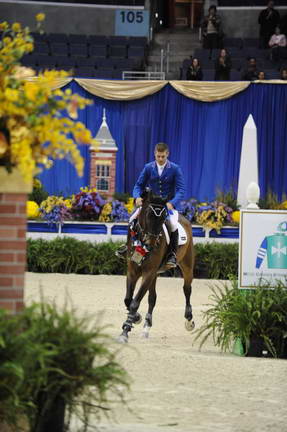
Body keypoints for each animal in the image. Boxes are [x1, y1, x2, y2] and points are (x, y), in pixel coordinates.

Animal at [118, 191, 196, 342]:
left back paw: (189, 320)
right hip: (155, 274)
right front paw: (136, 318)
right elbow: (128, 300)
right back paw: (146, 328)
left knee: (187, 289)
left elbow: (135, 302)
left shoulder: (148, 272)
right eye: (148, 214)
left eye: (164, 217)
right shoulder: (133, 271)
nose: (151, 243)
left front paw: (125, 331)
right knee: (152, 298)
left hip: (187, 265)